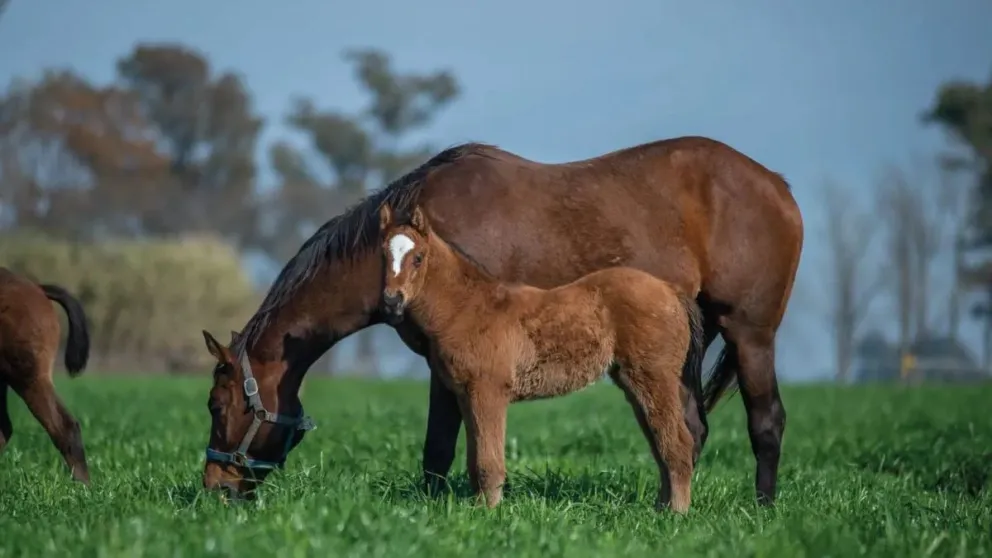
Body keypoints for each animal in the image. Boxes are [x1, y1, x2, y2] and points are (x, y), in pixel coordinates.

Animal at [378, 204, 707, 512]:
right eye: (383, 256)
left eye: (418, 258)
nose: (392, 301)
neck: (467, 307)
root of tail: (670, 291)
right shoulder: (465, 395)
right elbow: (474, 458)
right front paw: (479, 507)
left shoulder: (488, 391)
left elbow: (487, 462)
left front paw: (490, 512)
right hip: (635, 382)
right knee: (660, 443)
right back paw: (661, 507)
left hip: (654, 377)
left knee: (678, 443)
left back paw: (677, 513)